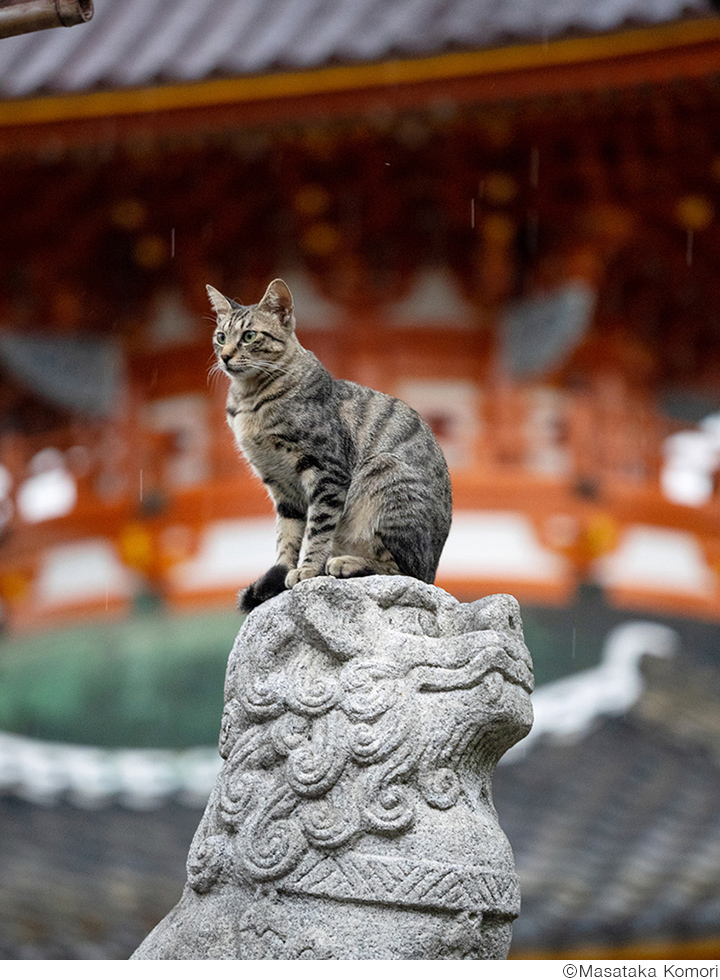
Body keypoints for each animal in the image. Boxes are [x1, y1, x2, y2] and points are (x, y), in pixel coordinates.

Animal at [208, 278, 452, 612]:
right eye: (221, 337)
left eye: (248, 336)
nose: (225, 356)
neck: (249, 401)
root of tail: (435, 568)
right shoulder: (280, 486)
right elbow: (286, 538)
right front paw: (282, 575)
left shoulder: (326, 471)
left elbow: (317, 529)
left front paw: (308, 568)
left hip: (384, 474)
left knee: (405, 571)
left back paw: (345, 563)